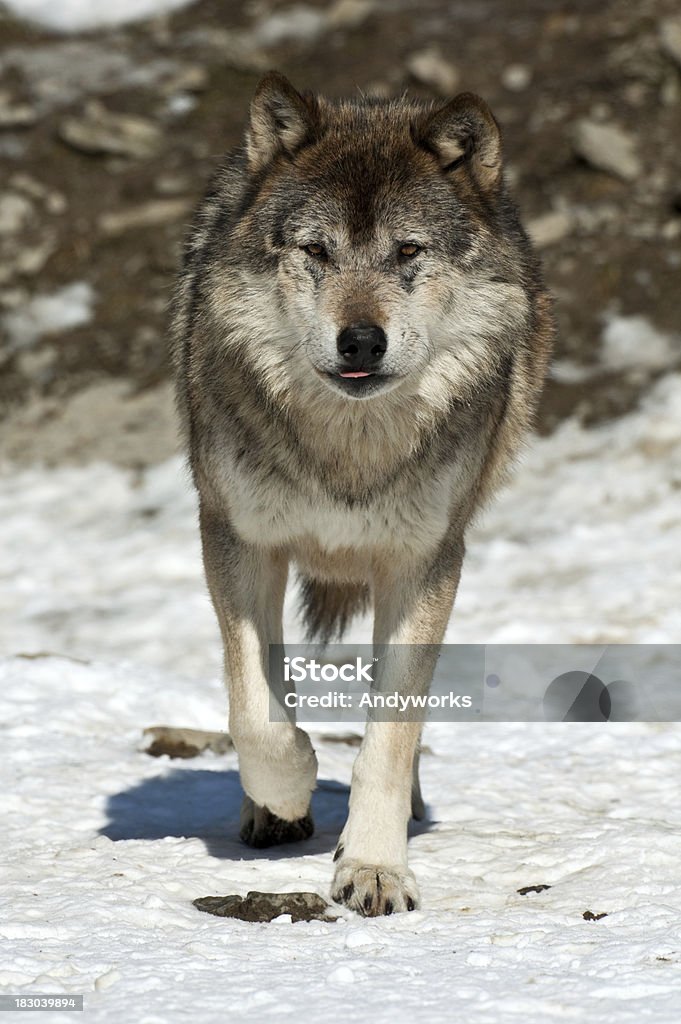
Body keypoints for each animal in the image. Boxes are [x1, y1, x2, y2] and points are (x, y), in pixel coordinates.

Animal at [171, 74, 552, 921]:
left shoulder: (423, 564)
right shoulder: (237, 540)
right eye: (316, 250)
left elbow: (391, 731)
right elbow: (254, 710)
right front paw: (287, 790)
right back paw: (267, 813)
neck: (347, 452)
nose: (360, 341)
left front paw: (375, 867)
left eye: (407, 251)